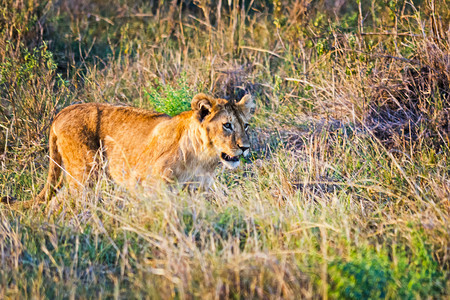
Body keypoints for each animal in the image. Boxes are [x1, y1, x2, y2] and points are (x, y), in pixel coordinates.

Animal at [32, 92, 255, 203]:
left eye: (245, 125)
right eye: (227, 125)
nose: (245, 147)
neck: (203, 159)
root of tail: (62, 112)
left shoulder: (198, 190)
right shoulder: (152, 186)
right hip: (85, 175)